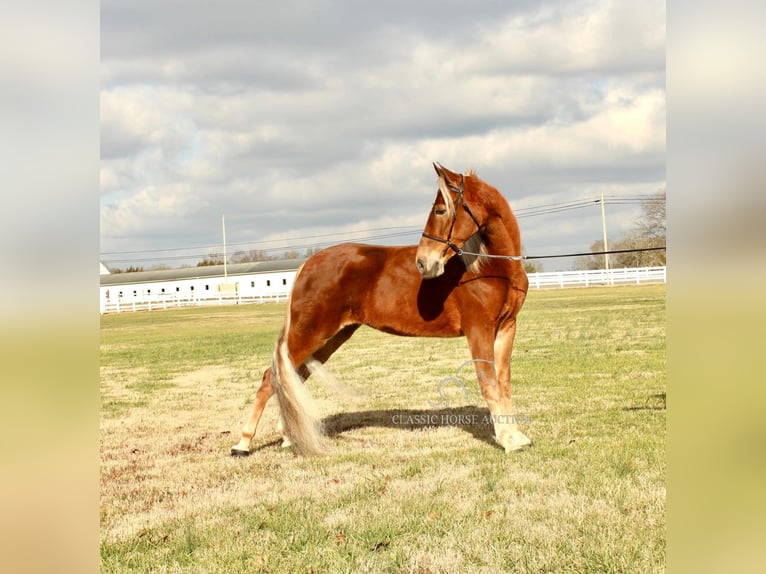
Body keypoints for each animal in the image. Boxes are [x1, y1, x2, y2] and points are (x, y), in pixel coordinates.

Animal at [231, 164, 532, 456]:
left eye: (440, 209)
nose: (423, 262)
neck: (490, 267)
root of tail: (308, 264)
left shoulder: (506, 328)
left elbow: (503, 381)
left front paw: (517, 437)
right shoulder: (479, 330)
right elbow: (489, 382)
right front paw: (508, 440)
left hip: (330, 338)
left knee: (291, 379)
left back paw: (287, 437)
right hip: (308, 336)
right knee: (270, 379)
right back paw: (243, 444)